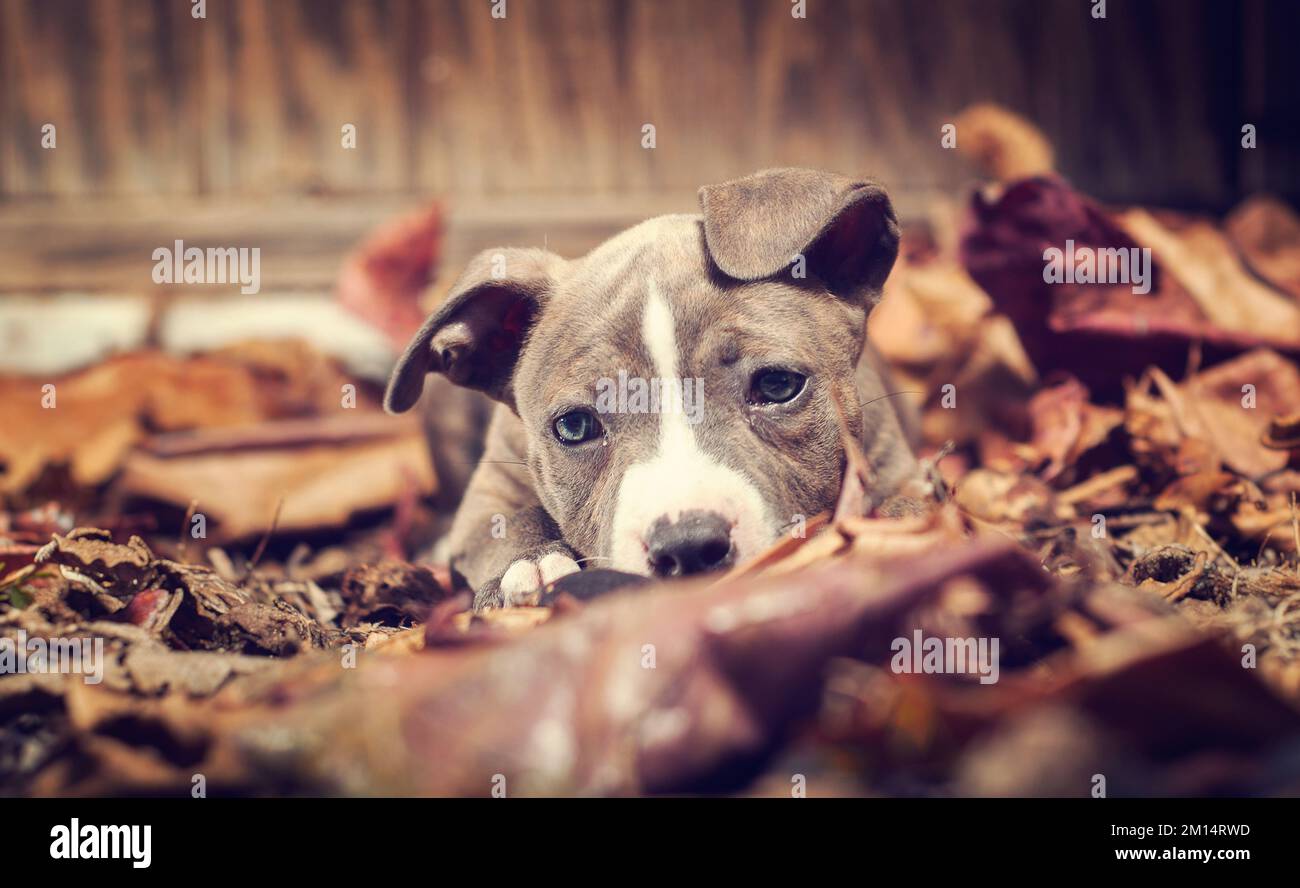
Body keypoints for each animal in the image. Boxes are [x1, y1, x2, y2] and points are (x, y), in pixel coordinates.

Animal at [384, 166, 925, 608]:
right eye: (574, 426)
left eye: (777, 385)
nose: (689, 547)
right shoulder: (488, 493)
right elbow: (501, 525)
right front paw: (532, 562)